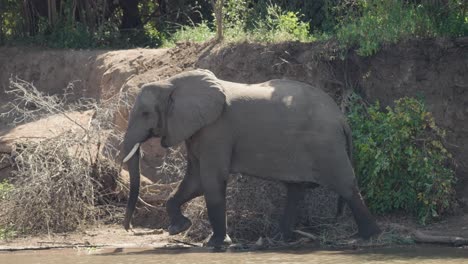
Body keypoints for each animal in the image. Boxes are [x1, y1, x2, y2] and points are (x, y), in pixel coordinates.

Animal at [120, 68, 380, 248]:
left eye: (145, 113)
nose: (129, 229)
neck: (171, 82)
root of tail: (341, 118)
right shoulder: (198, 130)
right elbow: (195, 181)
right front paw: (179, 228)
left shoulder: (217, 130)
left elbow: (210, 180)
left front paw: (215, 244)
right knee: (295, 189)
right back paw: (280, 239)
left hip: (327, 146)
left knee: (346, 186)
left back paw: (367, 237)